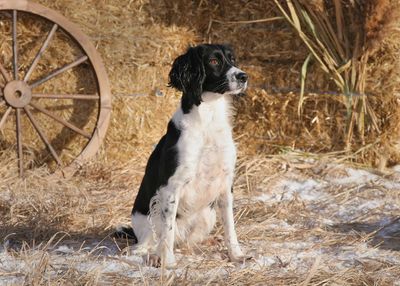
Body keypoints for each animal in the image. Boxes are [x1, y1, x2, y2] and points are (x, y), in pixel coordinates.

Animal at [120, 43, 248, 268]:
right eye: (213, 61)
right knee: (146, 243)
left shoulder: (225, 183)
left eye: (232, 59)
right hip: (149, 216)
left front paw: (236, 255)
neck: (208, 119)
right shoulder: (172, 186)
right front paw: (167, 261)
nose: (243, 76)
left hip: (207, 214)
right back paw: (149, 254)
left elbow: (230, 227)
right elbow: (168, 231)